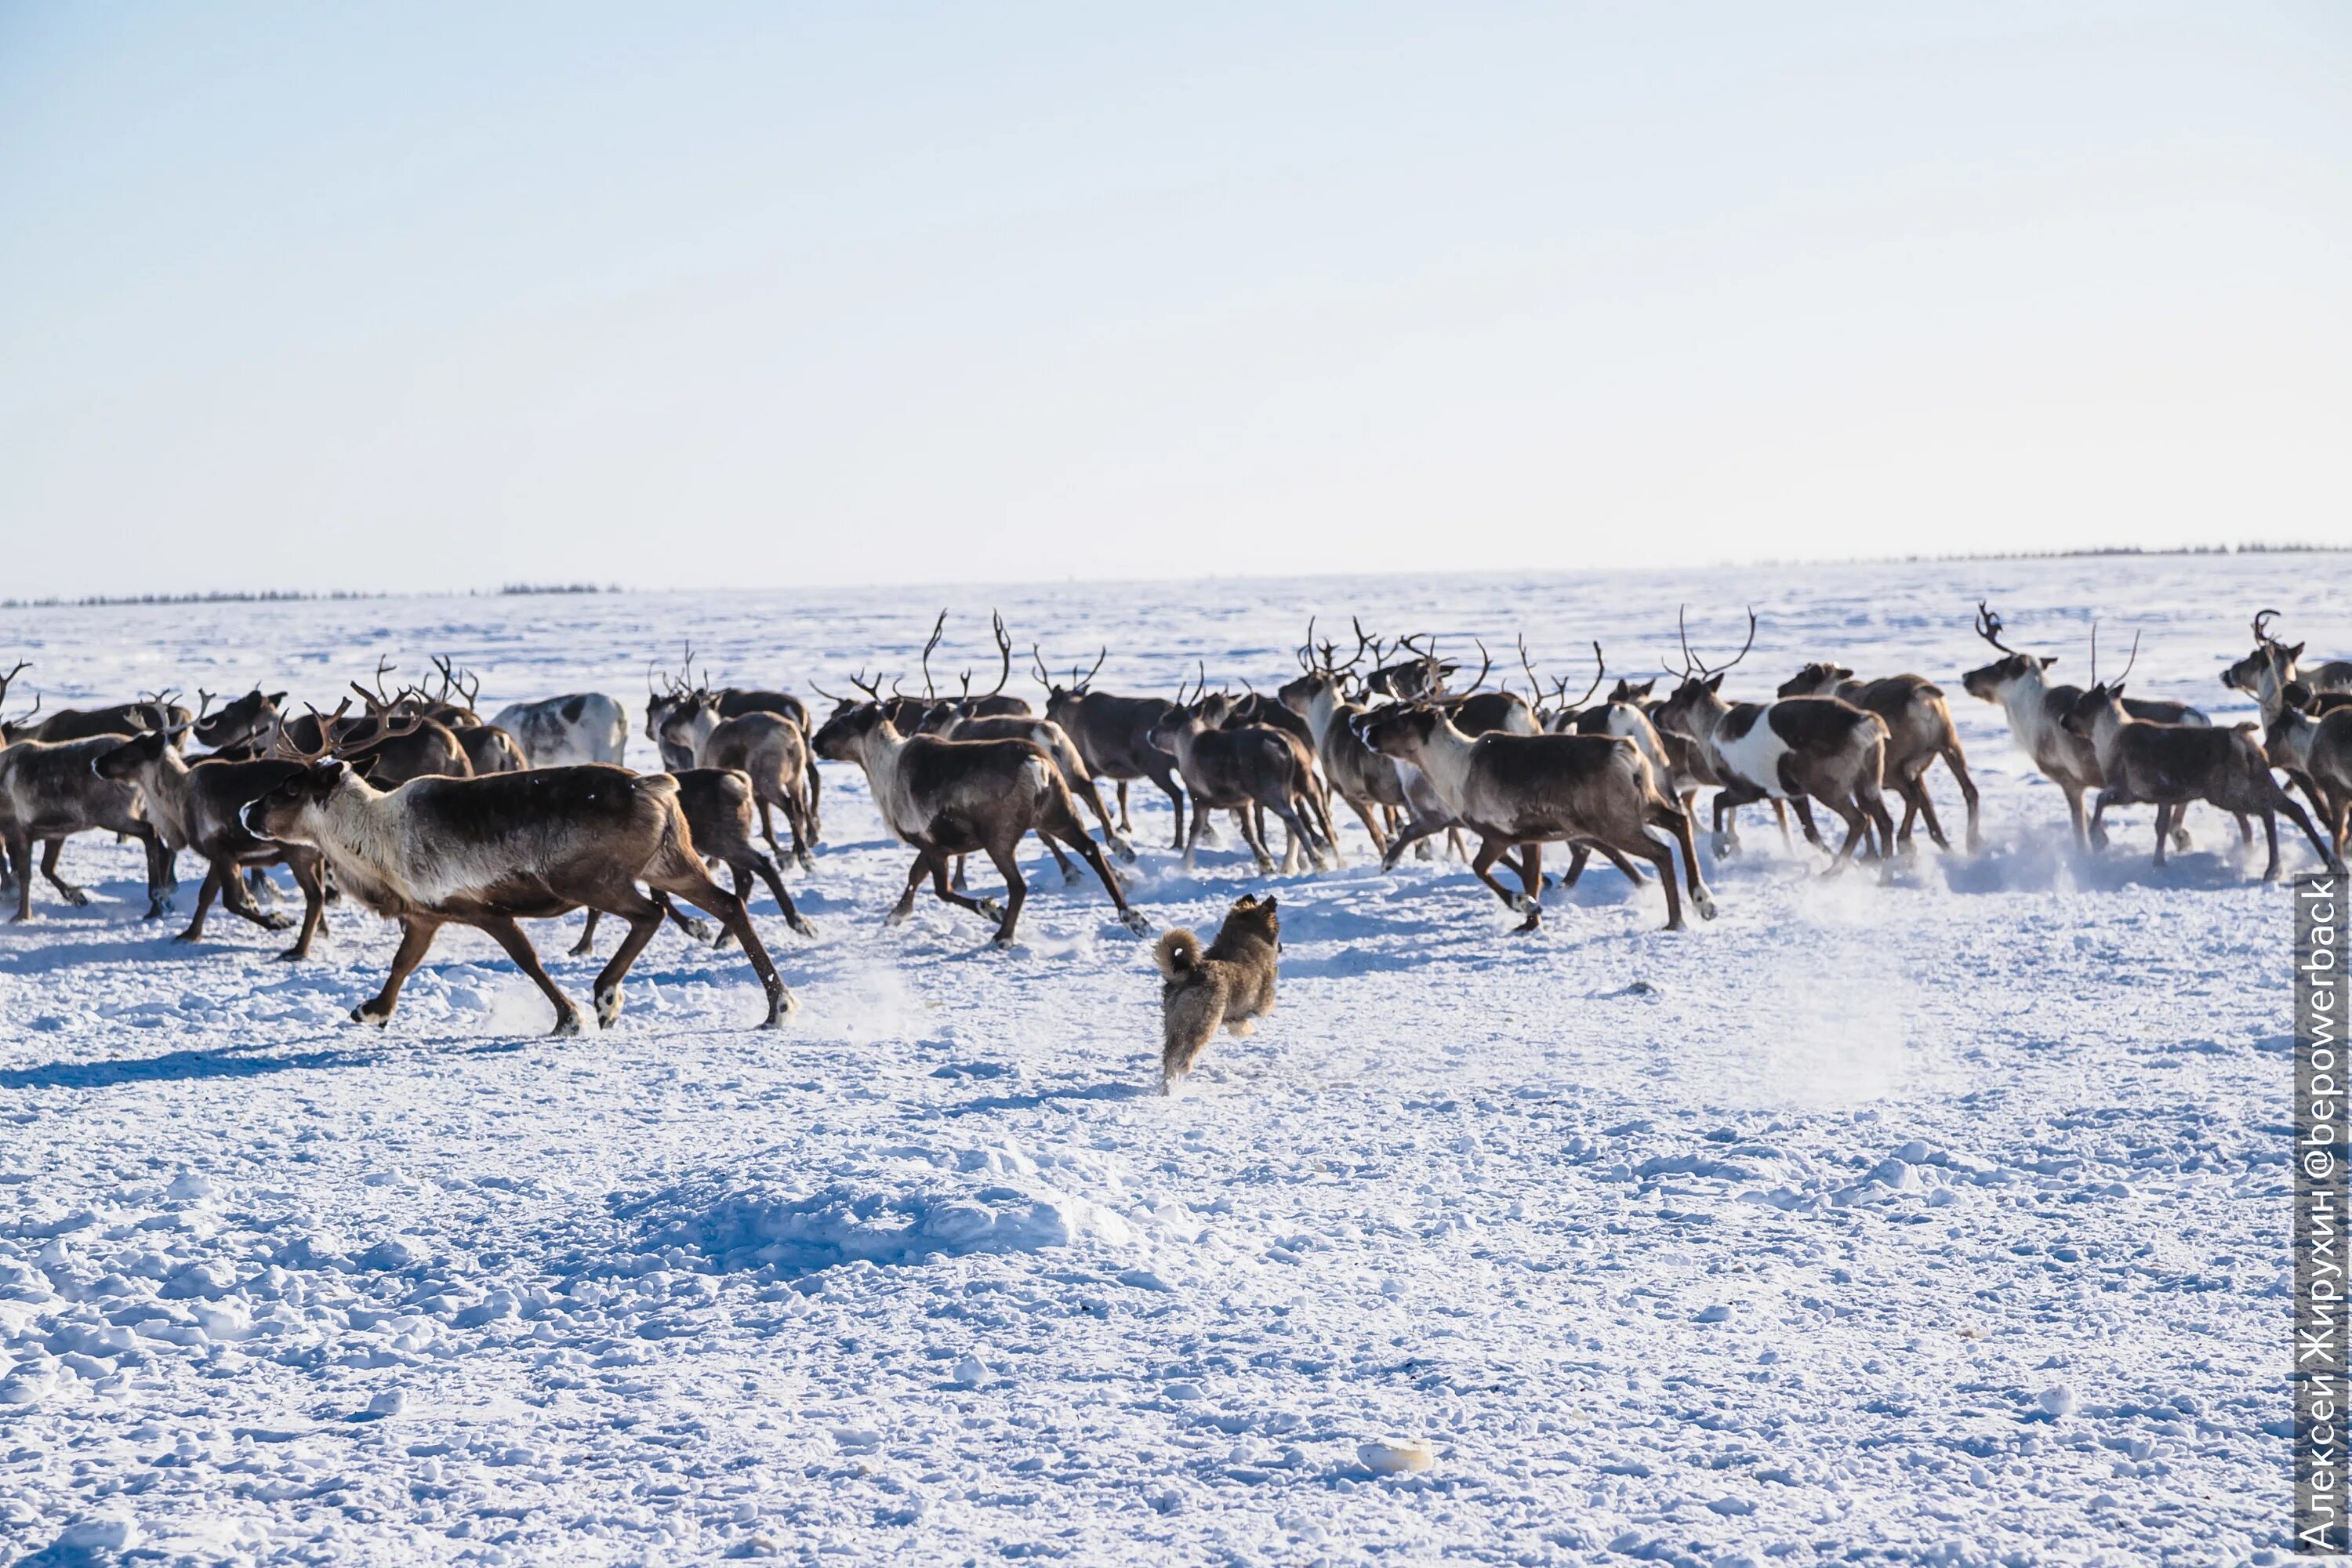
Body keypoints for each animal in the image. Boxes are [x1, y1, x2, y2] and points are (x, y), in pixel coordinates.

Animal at [1148, 888, 1279, 1100]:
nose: (1281, 947)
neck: (1241, 940)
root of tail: (1190, 974)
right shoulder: (1263, 1004)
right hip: (1205, 1023)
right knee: (1184, 1056)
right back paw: (1184, 1070)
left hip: (1173, 1025)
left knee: (1169, 1059)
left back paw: (1168, 1088)